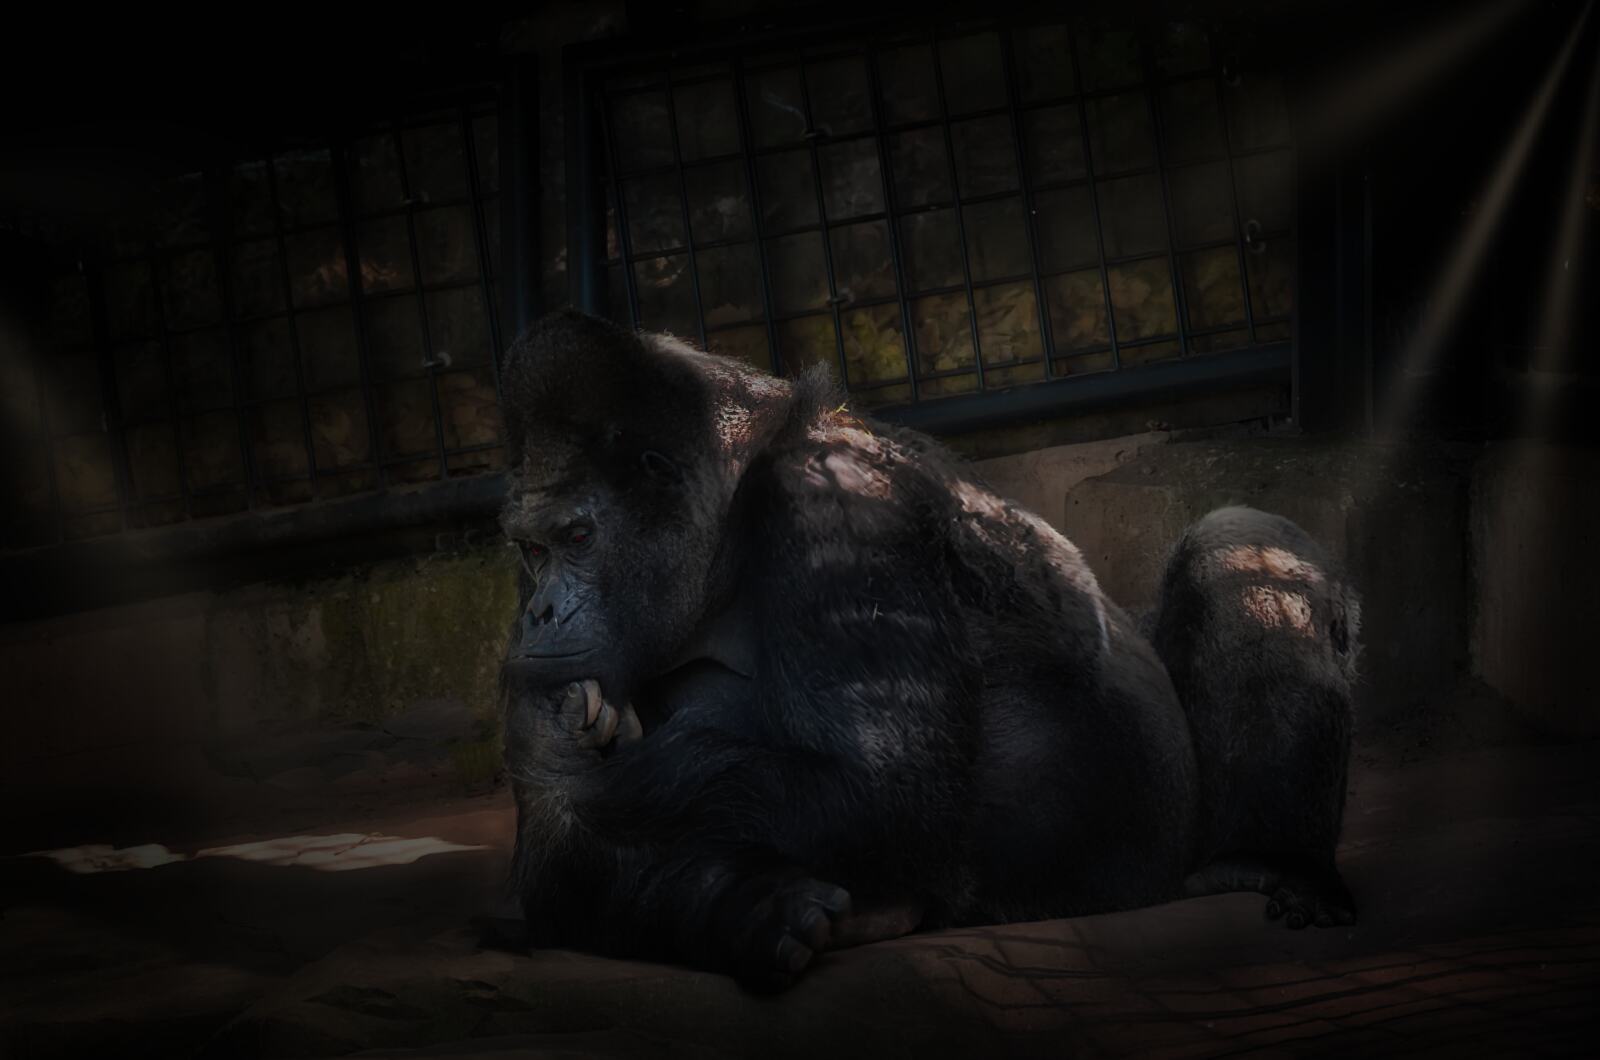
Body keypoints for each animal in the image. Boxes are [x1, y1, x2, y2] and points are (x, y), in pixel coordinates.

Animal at [494, 309, 1359, 989]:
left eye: (578, 538)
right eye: (532, 551)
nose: (536, 613)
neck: (732, 506)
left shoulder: (836, 506)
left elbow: (877, 787)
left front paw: (548, 770)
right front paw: (740, 911)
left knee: (1237, 539)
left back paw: (1271, 861)